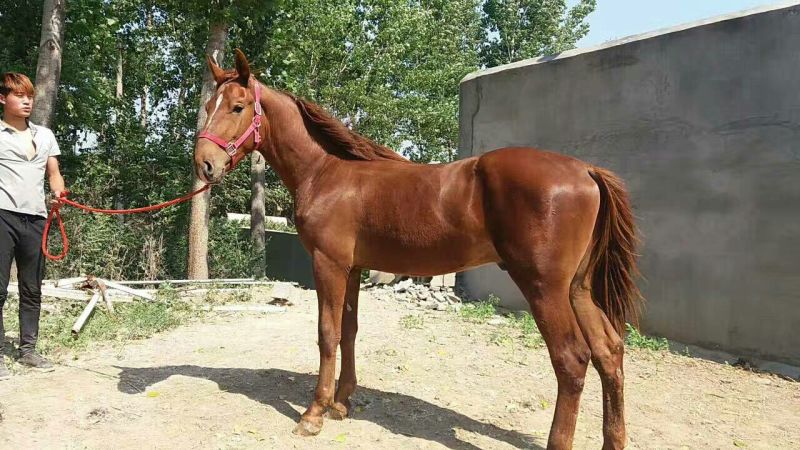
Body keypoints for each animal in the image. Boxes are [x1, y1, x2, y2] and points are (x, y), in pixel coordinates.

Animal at [193, 49, 642, 450]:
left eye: (237, 106)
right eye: (209, 105)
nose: (204, 164)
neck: (326, 173)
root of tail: (585, 170)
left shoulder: (329, 265)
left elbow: (327, 333)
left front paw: (314, 414)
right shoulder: (353, 269)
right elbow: (350, 330)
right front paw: (342, 403)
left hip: (544, 288)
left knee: (572, 359)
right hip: (578, 288)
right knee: (609, 352)